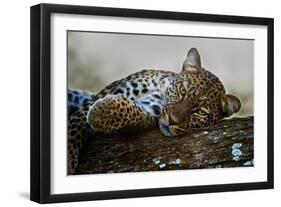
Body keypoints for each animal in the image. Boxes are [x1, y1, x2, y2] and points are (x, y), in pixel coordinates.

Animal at [66, 47, 240, 174]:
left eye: (200, 112)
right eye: (182, 90)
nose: (171, 121)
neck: (159, 91)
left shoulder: (149, 113)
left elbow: (133, 114)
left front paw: (101, 112)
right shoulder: (97, 98)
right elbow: (75, 127)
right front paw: (68, 161)